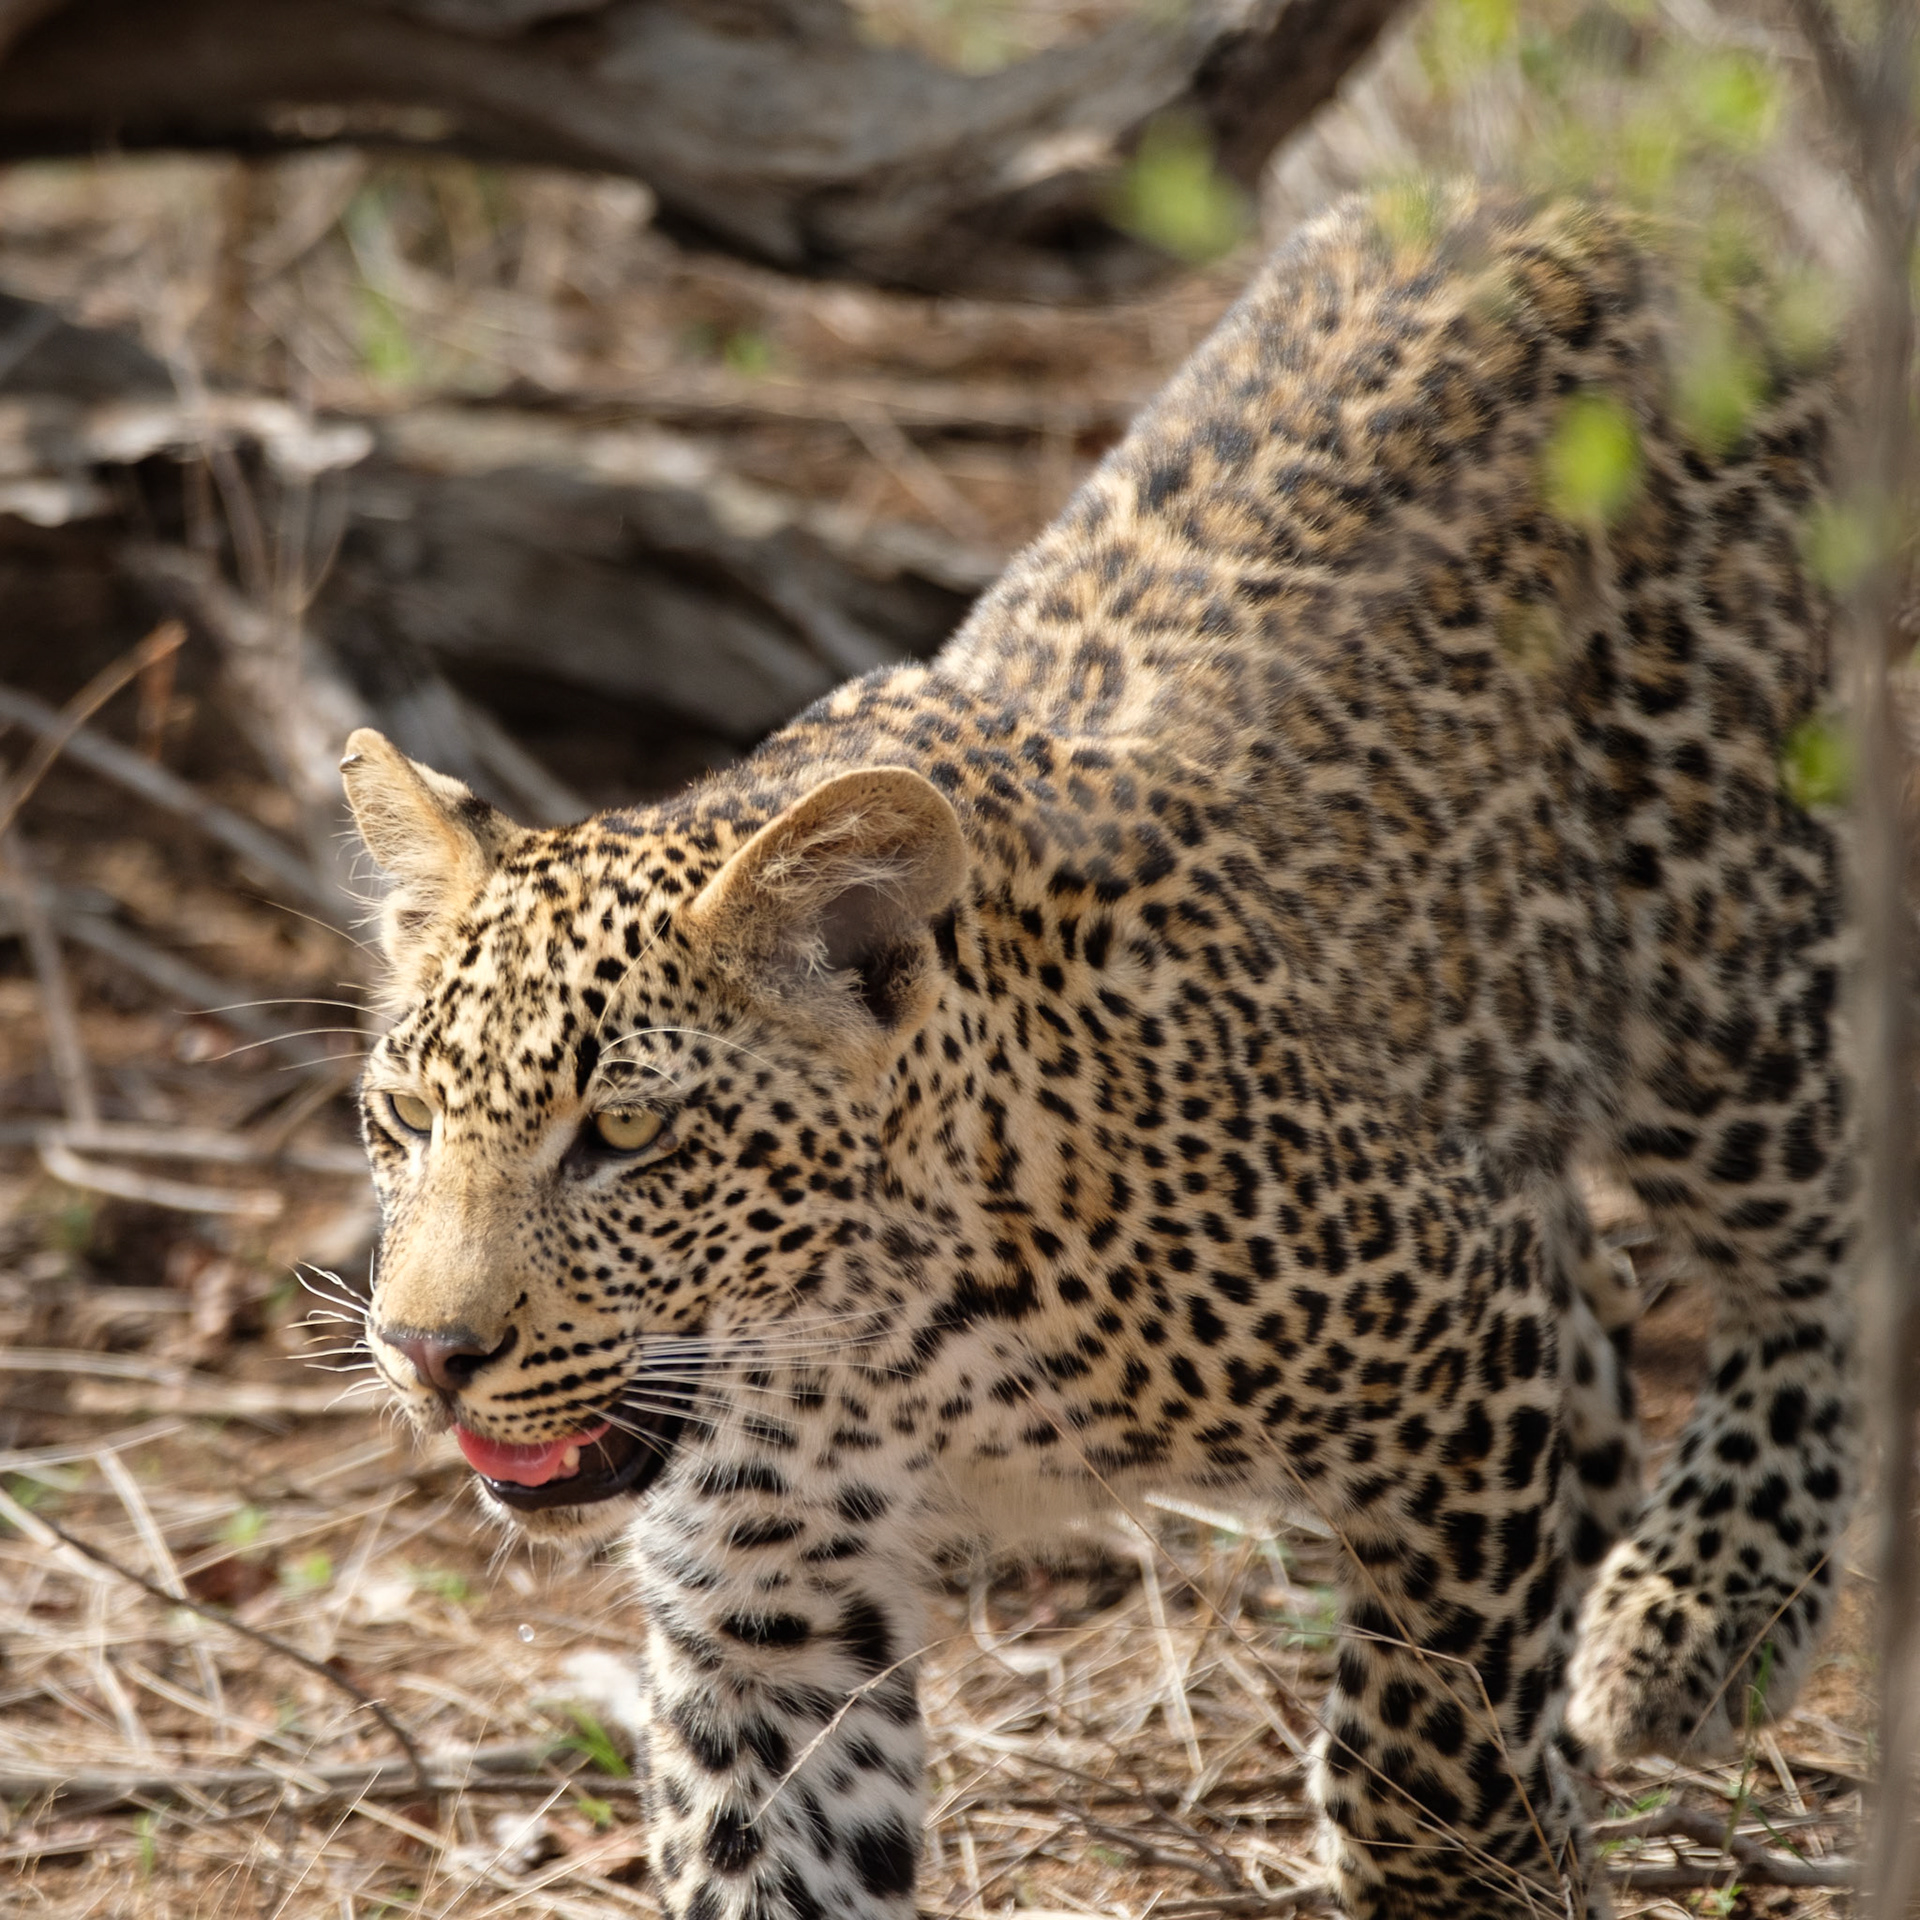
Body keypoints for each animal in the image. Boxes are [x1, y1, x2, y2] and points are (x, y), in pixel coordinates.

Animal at [341, 186, 1858, 1920]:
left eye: (628, 1137)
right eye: (405, 1118)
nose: (426, 1355)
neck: (869, 1344)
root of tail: (1612, 193)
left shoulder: (1445, 1343)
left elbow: (1423, 1728)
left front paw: (1486, 1861)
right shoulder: (765, 1607)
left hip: (1719, 955)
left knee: (1822, 1235)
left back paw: (1703, 1606)